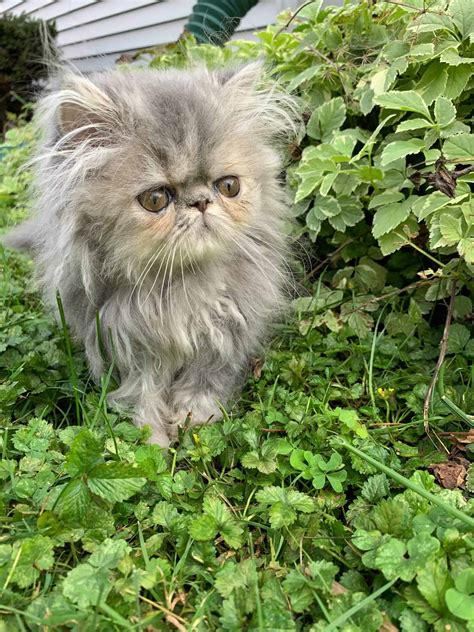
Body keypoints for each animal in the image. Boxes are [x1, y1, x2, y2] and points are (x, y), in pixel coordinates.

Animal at [6, 64, 296, 446]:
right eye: (156, 199)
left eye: (228, 186)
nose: (201, 202)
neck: (180, 284)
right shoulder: (127, 342)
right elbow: (144, 393)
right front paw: (154, 441)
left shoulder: (226, 333)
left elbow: (204, 381)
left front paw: (195, 421)